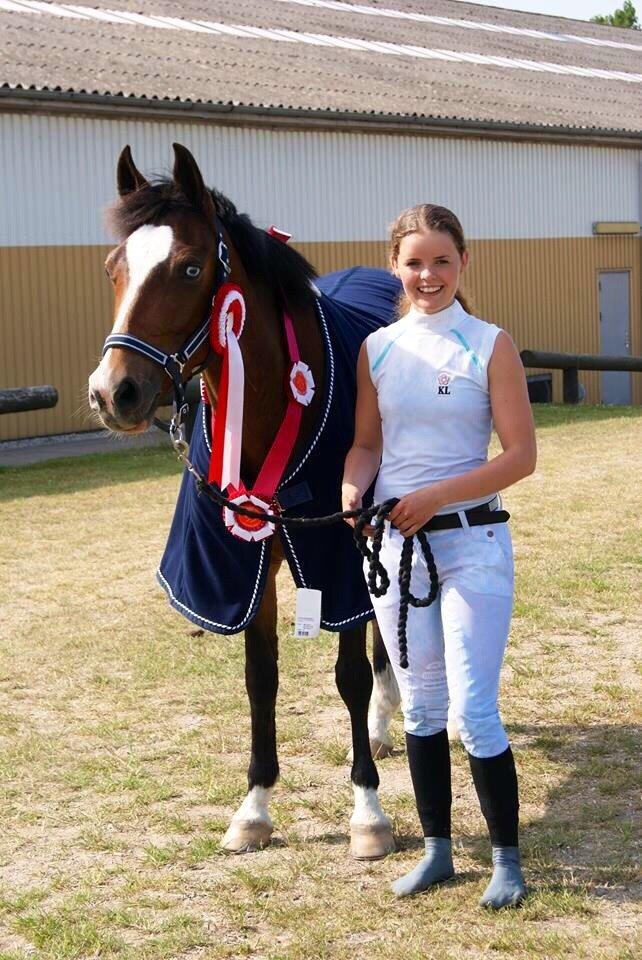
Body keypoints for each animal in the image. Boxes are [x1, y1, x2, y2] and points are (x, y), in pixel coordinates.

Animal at [88, 143, 402, 859]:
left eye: (190, 266)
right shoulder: (241, 564)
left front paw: (367, 813)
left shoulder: (333, 553)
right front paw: (254, 808)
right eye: (116, 267)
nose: (112, 392)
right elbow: (261, 678)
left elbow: (349, 674)